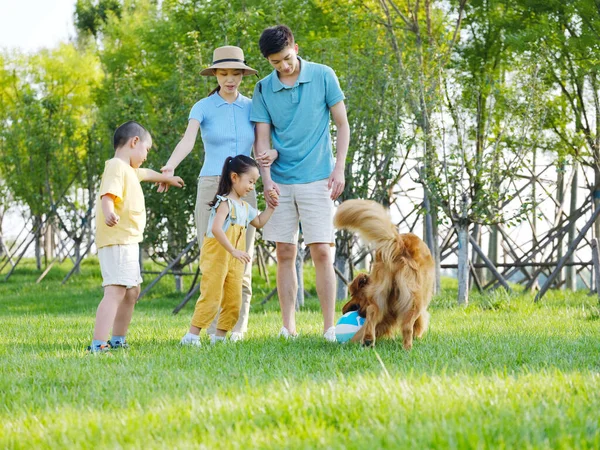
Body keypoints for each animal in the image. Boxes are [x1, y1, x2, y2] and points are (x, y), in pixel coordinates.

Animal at [336, 199, 434, 350]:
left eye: (353, 295)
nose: (343, 309)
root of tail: (399, 244)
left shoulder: (386, 311)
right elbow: (420, 320)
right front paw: (418, 335)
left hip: (380, 294)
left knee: (372, 311)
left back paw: (368, 340)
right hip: (413, 299)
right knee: (407, 325)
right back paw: (408, 347)